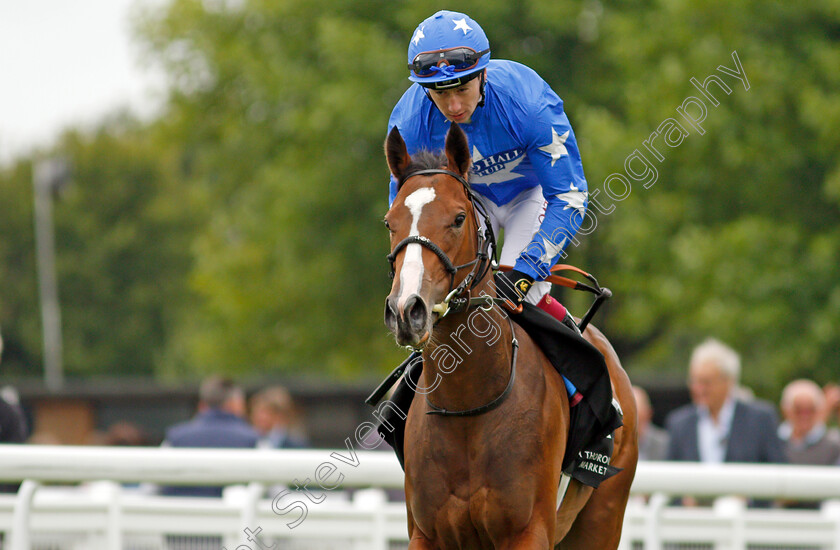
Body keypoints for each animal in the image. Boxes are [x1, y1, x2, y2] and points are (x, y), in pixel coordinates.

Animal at [380, 123, 636, 548]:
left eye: (458, 218)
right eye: (389, 222)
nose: (406, 310)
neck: (467, 404)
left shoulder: (527, 531)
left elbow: (567, 193)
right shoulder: (426, 533)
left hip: (602, 516)